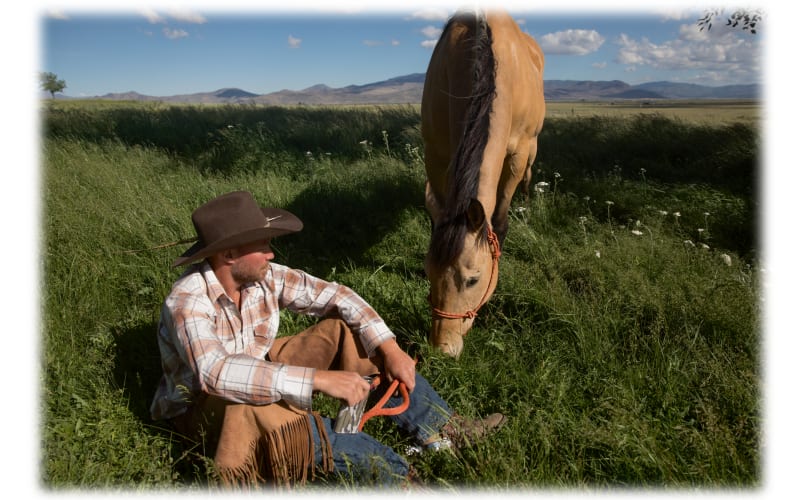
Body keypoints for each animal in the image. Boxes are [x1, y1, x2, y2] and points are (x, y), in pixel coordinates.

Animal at [418, 9, 544, 358]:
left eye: (474, 280)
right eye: (427, 271)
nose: (443, 348)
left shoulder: (517, 153)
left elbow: (498, 221)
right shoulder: (437, 152)